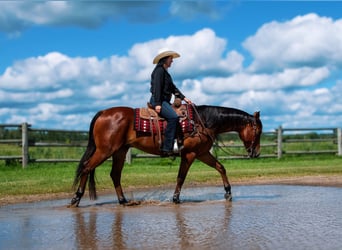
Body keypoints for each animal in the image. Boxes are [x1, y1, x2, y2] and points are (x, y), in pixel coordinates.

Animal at [69, 104, 262, 207]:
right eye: (258, 131)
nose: (256, 153)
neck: (203, 122)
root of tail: (103, 112)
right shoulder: (190, 154)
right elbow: (181, 177)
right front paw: (176, 199)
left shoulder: (202, 153)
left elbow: (221, 167)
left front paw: (228, 193)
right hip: (104, 151)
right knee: (87, 167)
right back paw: (76, 199)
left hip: (119, 152)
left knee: (114, 174)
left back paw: (123, 201)